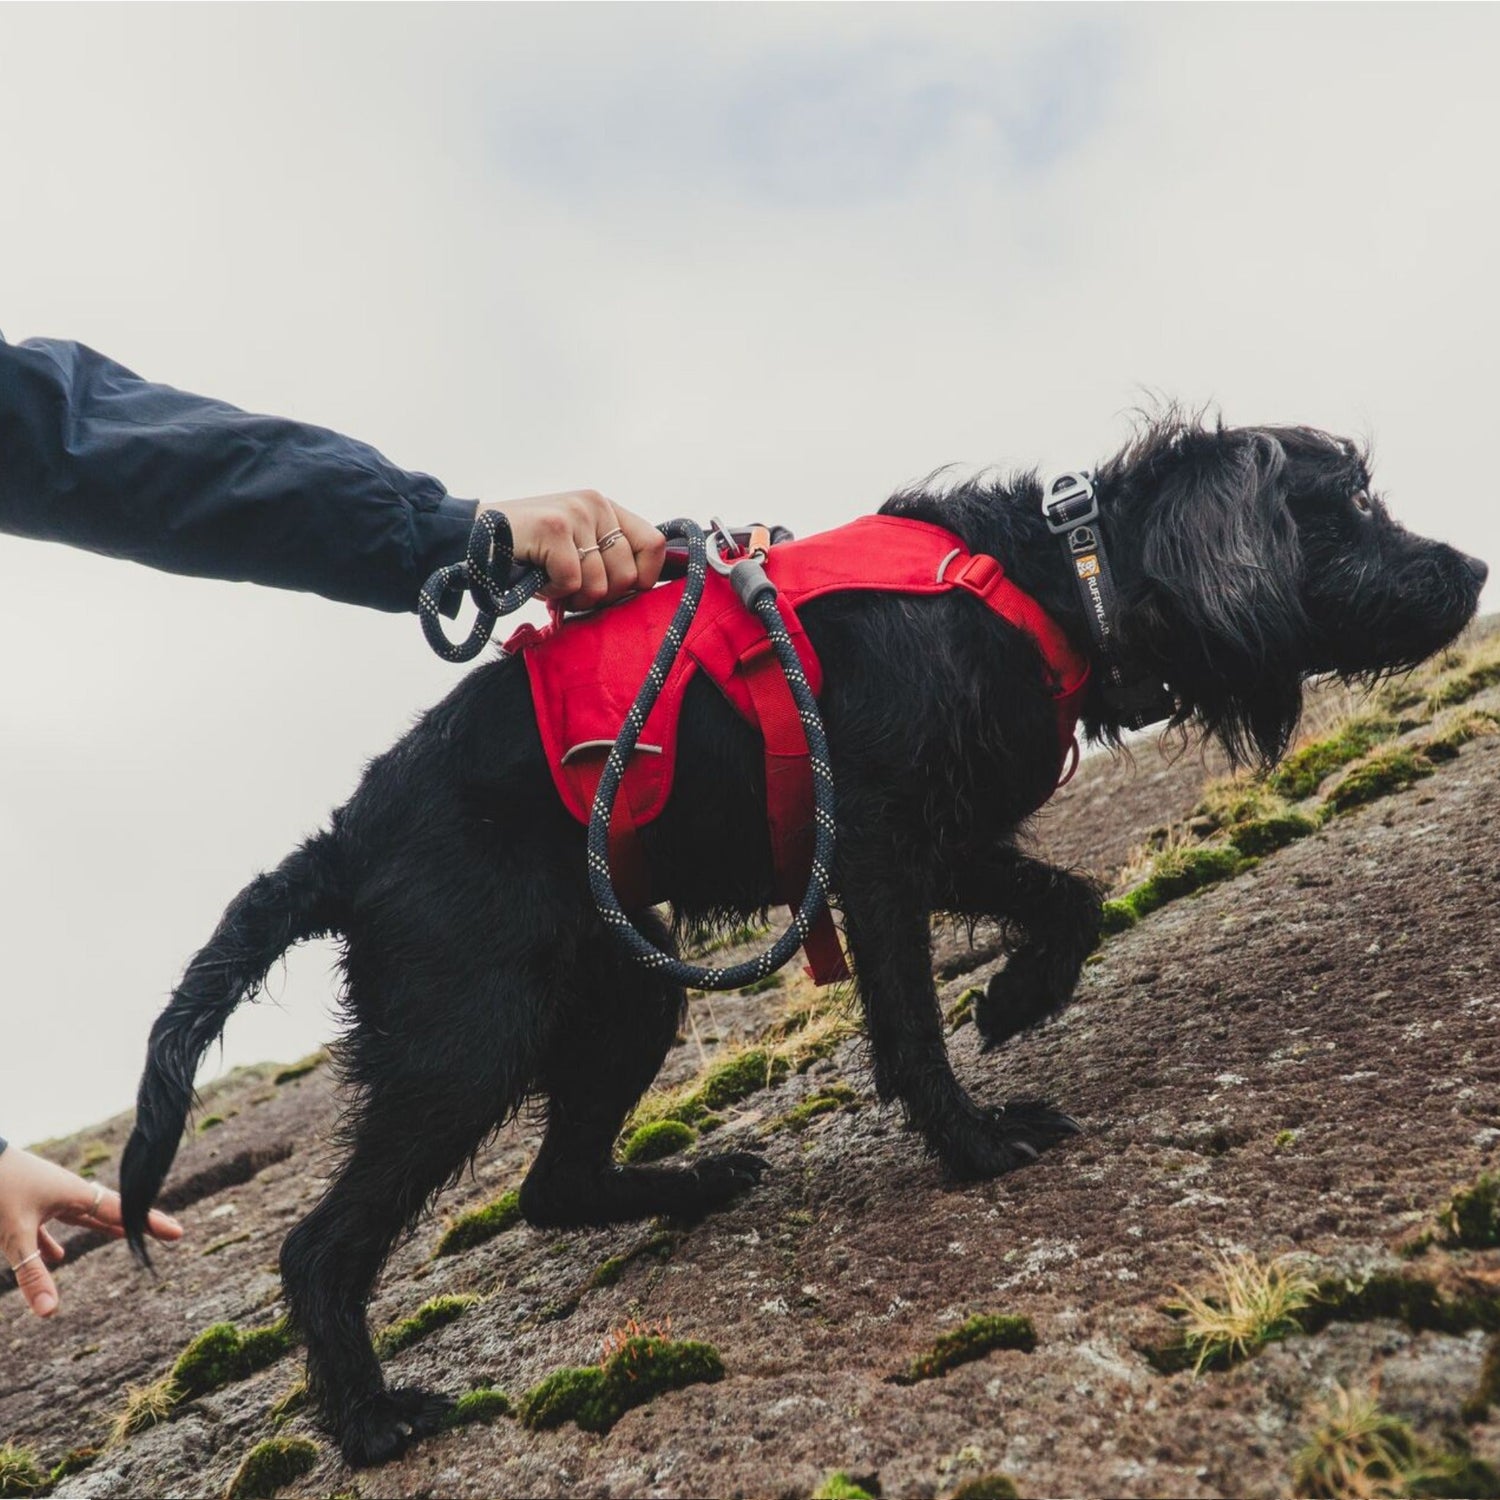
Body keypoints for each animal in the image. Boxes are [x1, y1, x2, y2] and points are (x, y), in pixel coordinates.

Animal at [120, 411, 1488, 1464]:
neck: (1058, 579)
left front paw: (1021, 999)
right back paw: (369, 1422)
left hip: (629, 990)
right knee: (320, 1246)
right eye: (1343, 510)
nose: (1475, 571)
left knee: (556, 1184)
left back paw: (694, 1180)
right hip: (470, 1028)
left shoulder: (945, 838)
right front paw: (976, 1143)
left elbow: (1072, 897)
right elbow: (913, 1028)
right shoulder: (877, 850)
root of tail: (343, 843)